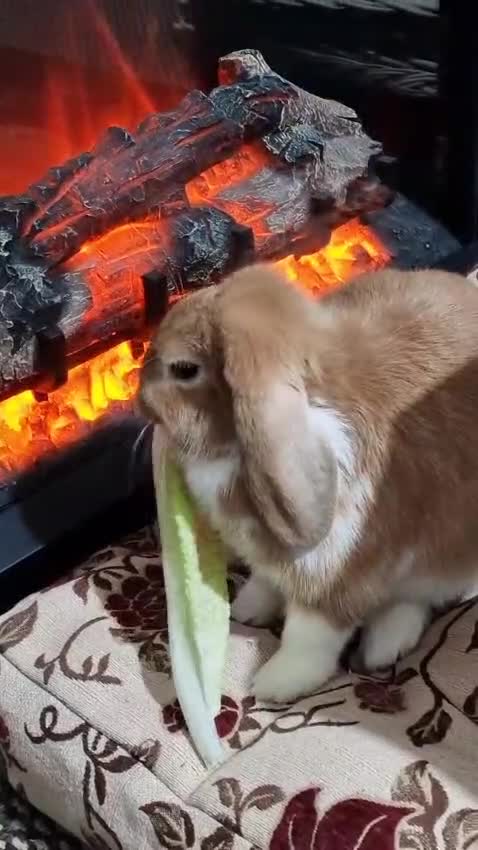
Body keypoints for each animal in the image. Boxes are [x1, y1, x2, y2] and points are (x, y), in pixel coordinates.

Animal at [139, 262, 478, 703]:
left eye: (184, 370)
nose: (139, 397)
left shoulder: (334, 580)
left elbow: (308, 637)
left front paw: (273, 685)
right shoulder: (271, 558)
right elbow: (266, 580)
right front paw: (249, 608)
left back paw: (384, 646)